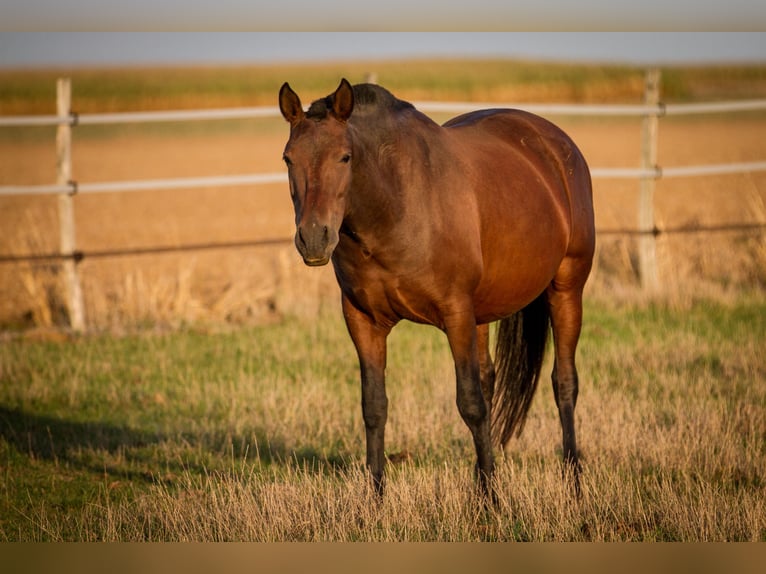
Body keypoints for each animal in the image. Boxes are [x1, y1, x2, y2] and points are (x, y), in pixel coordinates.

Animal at [280, 77, 596, 500]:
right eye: (288, 158)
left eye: (345, 157)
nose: (314, 238)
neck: (396, 206)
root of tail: (555, 142)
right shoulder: (363, 320)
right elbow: (374, 407)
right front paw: (375, 501)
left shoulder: (455, 312)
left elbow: (470, 404)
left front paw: (491, 503)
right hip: (484, 311)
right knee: (490, 380)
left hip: (566, 290)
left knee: (564, 383)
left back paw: (573, 482)